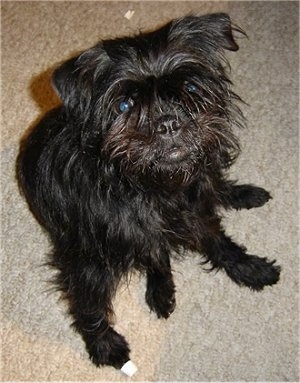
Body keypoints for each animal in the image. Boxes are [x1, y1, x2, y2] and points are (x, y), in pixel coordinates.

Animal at [17, 14, 282, 372]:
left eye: (191, 90)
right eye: (124, 105)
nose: (168, 123)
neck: (148, 187)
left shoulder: (195, 210)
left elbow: (218, 242)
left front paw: (248, 267)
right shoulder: (86, 261)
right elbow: (88, 304)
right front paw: (104, 345)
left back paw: (241, 194)